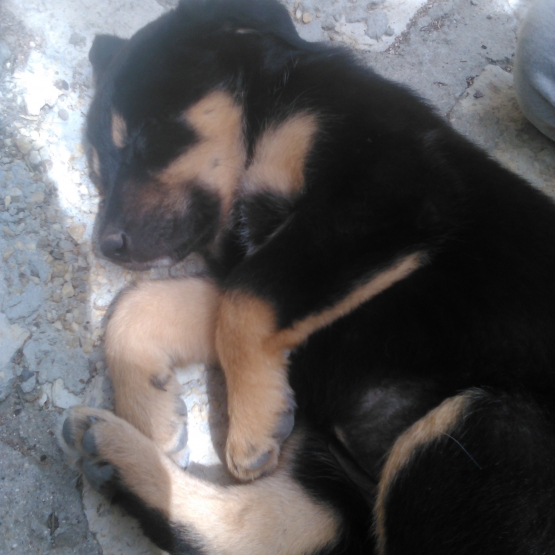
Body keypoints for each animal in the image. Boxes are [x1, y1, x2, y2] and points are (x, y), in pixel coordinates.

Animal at [59, 1, 555, 552]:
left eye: (147, 139)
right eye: (99, 172)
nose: (107, 246)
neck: (264, 115)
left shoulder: (386, 193)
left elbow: (244, 298)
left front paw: (252, 425)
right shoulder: (280, 275)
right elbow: (145, 306)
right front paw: (154, 412)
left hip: (489, 429)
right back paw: (112, 455)